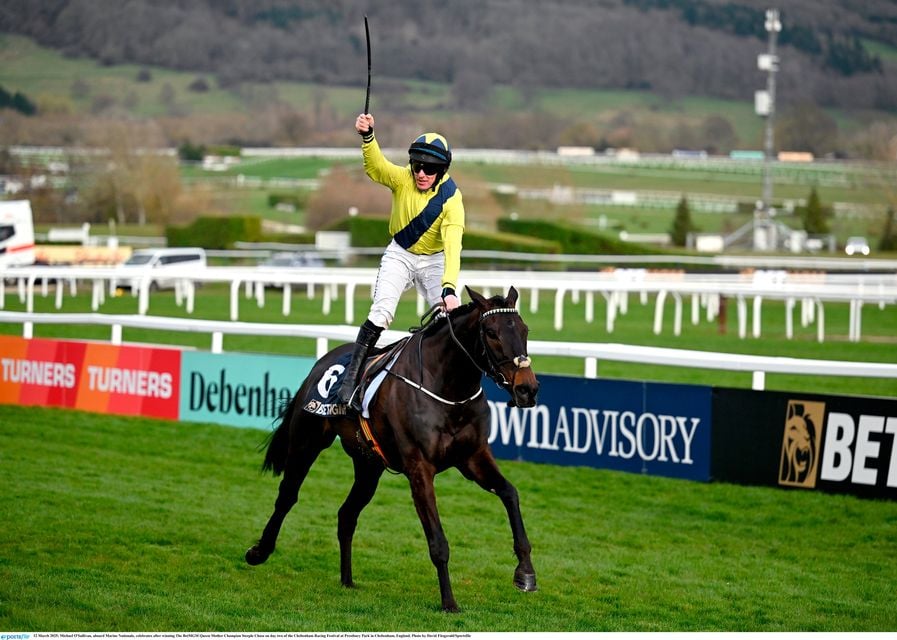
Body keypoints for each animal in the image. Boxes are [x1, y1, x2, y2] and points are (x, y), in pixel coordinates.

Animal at [245, 284, 540, 608]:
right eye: (491, 332)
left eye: (524, 329)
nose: (527, 388)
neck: (448, 388)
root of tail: (321, 363)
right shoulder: (420, 468)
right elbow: (438, 542)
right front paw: (449, 602)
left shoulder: (473, 456)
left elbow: (510, 493)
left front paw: (525, 573)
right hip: (306, 442)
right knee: (287, 495)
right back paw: (259, 552)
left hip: (368, 465)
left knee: (346, 514)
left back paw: (347, 579)